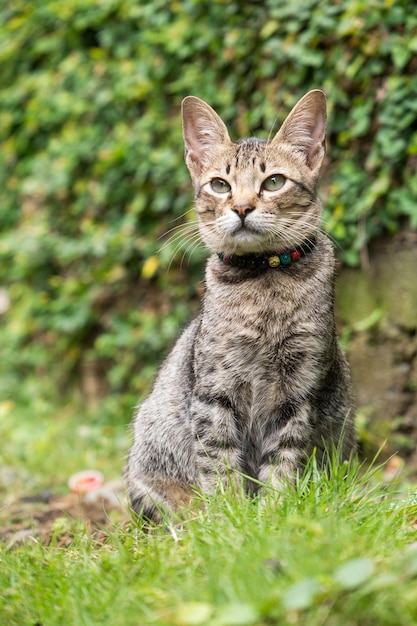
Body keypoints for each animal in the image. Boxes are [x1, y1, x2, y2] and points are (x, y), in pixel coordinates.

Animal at [126, 89, 354, 520]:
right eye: (219, 185)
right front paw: (231, 516)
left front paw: (273, 514)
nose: (243, 207)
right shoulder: (215, 388)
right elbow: (218, 459)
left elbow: (283, 460)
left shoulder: (298, 391)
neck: (263, 282)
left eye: (274, 182)